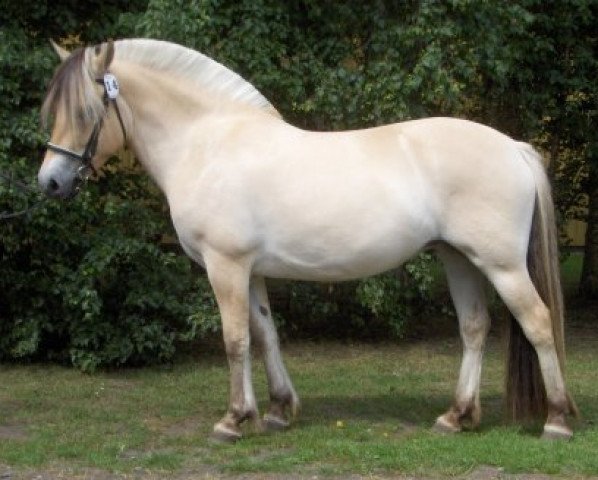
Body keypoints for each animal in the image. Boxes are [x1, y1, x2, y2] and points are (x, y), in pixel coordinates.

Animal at [39, 40, 580, 442]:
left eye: (85, 112)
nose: (50, 183)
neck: (208, 141)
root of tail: (513, 146)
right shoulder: (250, 269)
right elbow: (264, 334)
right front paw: (277, 410)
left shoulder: (225, 264)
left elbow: (235, 340)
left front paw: (233, 420)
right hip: (459, 258)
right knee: (474, 328)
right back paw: (457, 416)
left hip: (501, 264)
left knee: (537, 322)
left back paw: (556, 420)